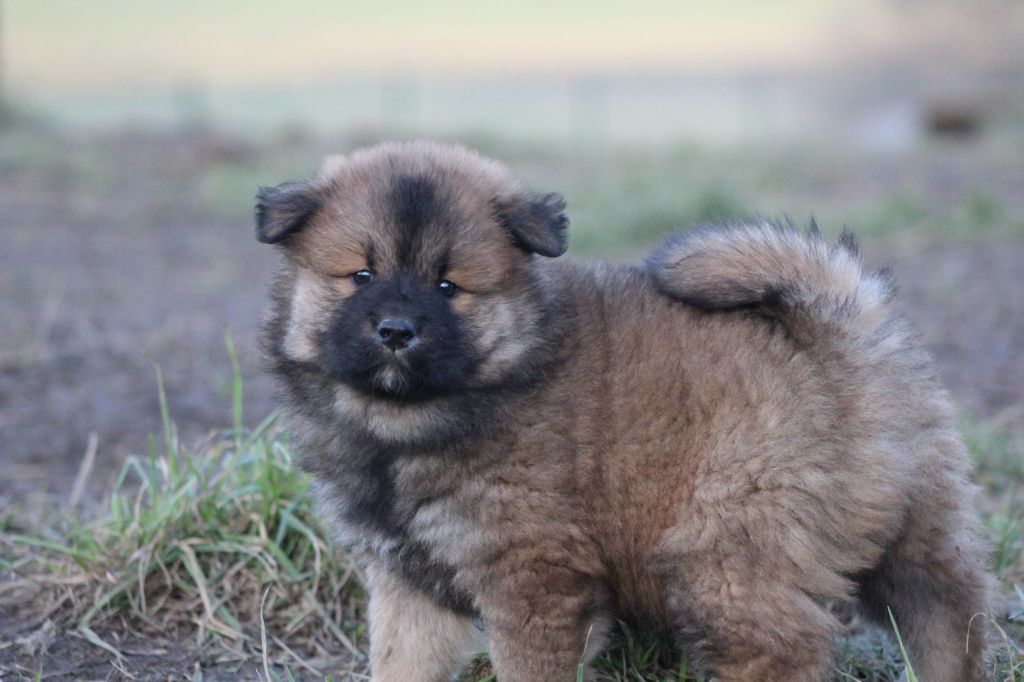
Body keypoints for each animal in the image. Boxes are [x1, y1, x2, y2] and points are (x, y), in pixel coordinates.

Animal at [253, 140, 991, 675]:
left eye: (447, 286)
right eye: (362, 275)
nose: (397, 330)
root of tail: (840, 340)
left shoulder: (534, 578)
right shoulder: (408, 582)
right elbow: (399, 663)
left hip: (729, 560)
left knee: (779, 650)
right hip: (923, 528)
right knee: (948, 615)